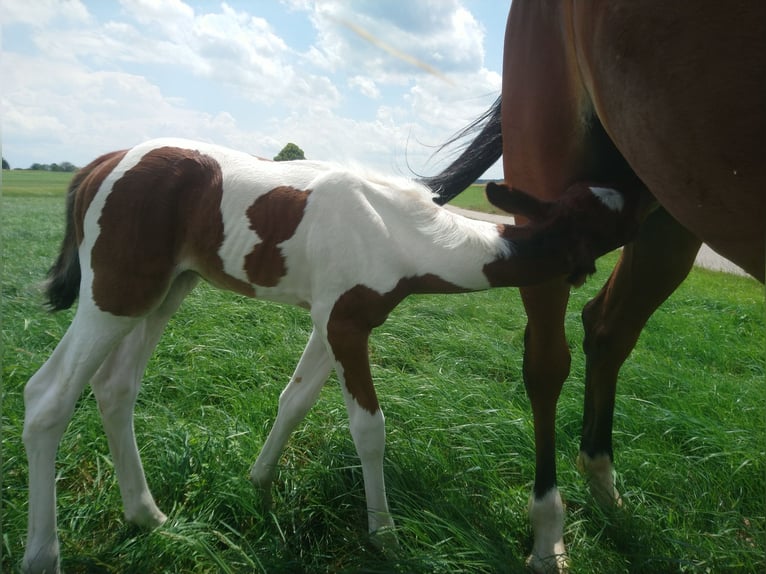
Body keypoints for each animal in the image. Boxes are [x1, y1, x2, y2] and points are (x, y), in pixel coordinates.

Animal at [21, 137, 640, 572]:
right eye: (617, 219)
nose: (652, 204)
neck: (400, 232)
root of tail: (105, 162)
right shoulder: (345, 327)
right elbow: (369, 429)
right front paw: (385, 536)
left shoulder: (328, 325)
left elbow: (293, 400)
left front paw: (259, 483)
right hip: (116, 292)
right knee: (47, 397)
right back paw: (43, 555)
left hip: (166, 290)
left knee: (114, 387)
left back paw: (148, 516)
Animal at [424, 2, 764, 572]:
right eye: (611, 219)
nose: (638, 191)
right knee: (547, 361)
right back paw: (548, 530)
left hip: (674, 214)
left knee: (608, 329)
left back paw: (606, 489)